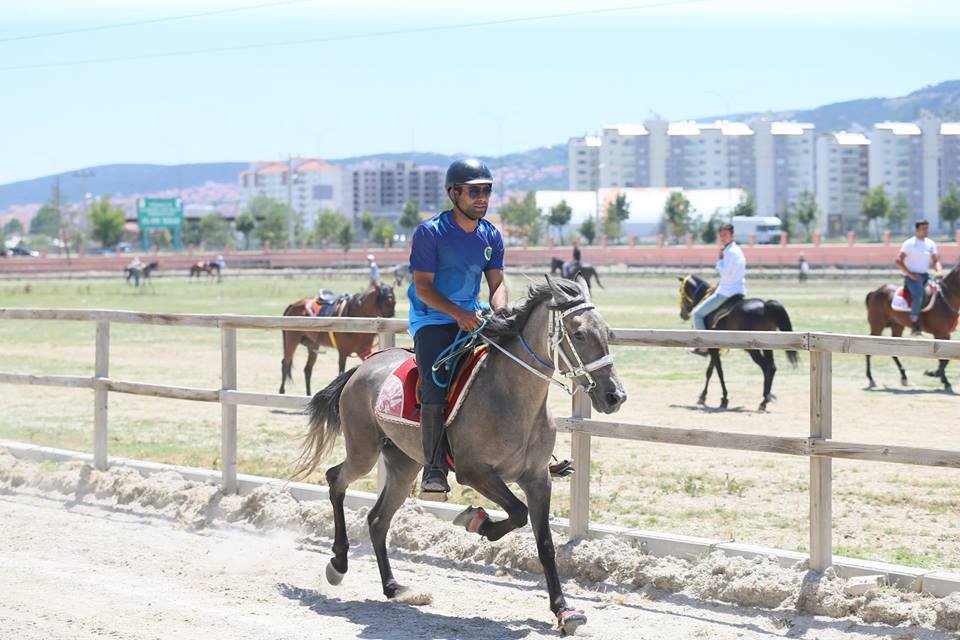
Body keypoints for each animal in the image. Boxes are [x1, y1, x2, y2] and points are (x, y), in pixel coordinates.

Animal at [292, 276, 628, 636]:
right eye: (579, 334)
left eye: (606, 331)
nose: (615, 396)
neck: (511, 396)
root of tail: (361, 368)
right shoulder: (476, 472)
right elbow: (518, 513)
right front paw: (477, 521)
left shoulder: (538, 479)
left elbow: (545, 543)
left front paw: (564, 610)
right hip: (363, 451)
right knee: (335, 480)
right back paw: (339, 562)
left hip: (404, 465)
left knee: (378, 520)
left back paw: (394, 587)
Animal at [680, 272, 800, 410]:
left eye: (680, 291)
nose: (682, 314)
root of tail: (765, 306)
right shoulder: (716, 349)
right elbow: (711, 371)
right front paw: (704, 396)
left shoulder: (713, 349)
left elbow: (718, 372)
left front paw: (723, 398)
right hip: (767, 345)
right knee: (772, 367)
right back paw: (766, 398)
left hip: (753, 349)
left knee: (766, 368)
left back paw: (764, 400)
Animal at [864, 262, 960, 390]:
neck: (947, 297)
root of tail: (875, 292)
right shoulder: (940, 334)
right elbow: (942, 359)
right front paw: (937, 376)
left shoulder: (946, 334)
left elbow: (945, 359)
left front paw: (939, 376)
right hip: (877, 326)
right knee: (869, 350)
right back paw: (871, 379)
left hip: (897, 326)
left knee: (894, 351)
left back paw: (904, 376)